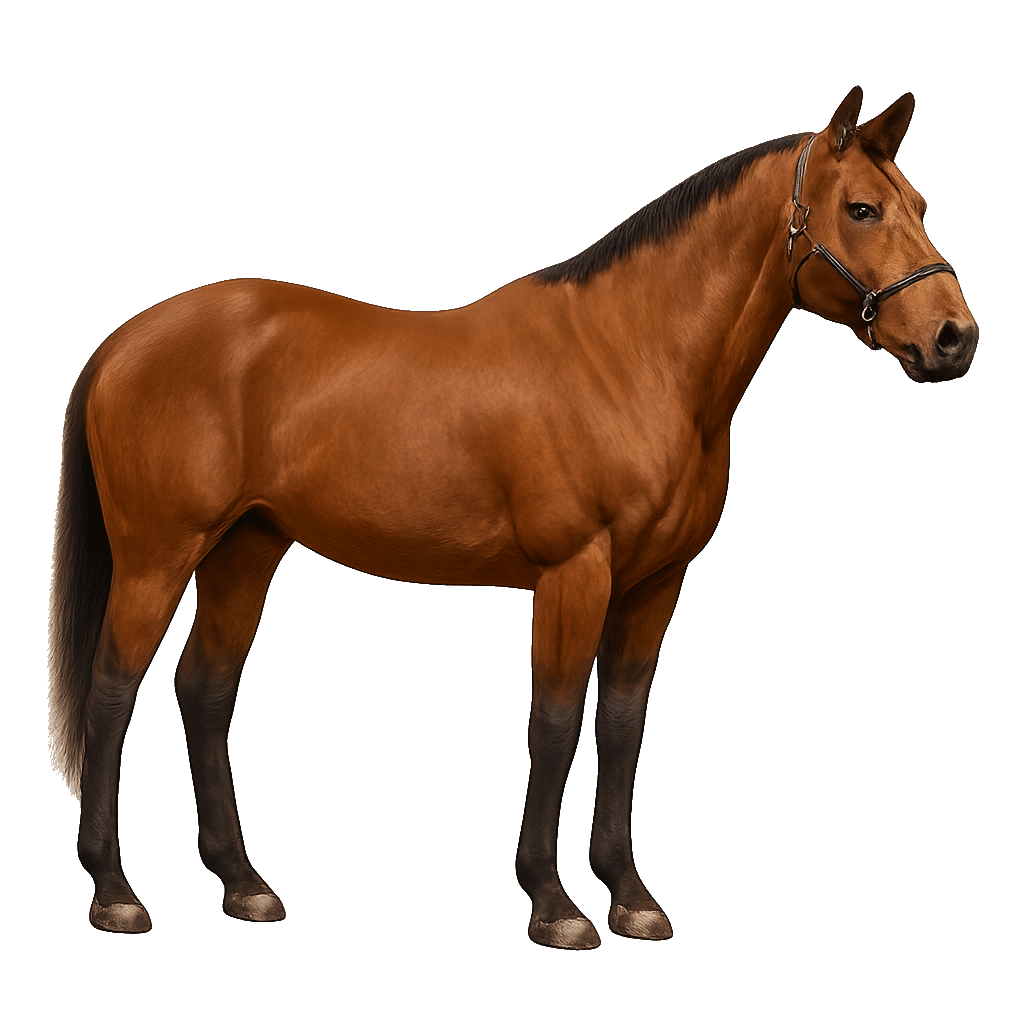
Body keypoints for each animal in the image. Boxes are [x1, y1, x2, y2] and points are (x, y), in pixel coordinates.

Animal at [49, 87, 976, 946]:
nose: (954, 338)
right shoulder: (576, 575)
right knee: (112, 687)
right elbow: (556, 724)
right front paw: (555, 906)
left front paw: (631, 898)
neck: (626, 355)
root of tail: (124, 342)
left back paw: (244, 886)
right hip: (158, 558)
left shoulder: (654, 586)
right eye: (862, 209)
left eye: (922, 205)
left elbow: (622, 727)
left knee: (203, 690)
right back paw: (116, 893)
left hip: (245, 550)